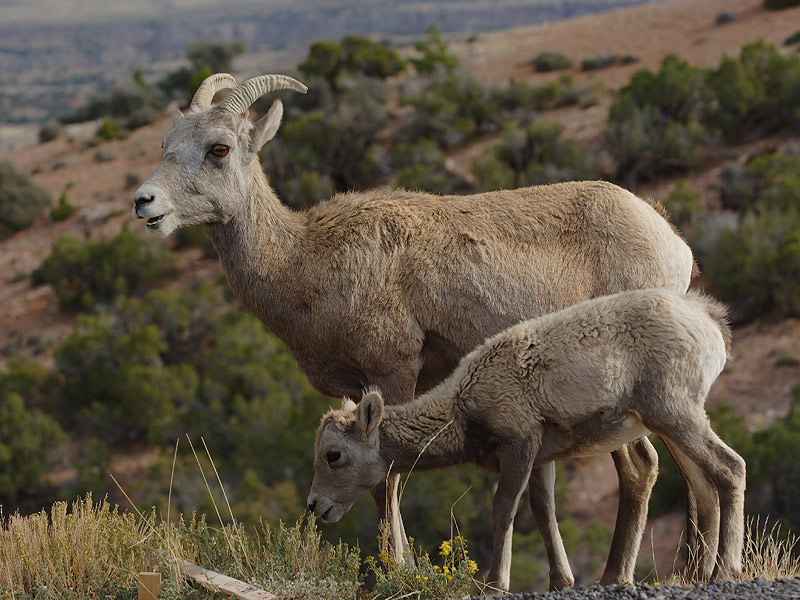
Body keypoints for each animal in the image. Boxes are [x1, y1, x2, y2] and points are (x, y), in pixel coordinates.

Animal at [138, 72, 700, 588]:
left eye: (219, 148)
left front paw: (395, 571)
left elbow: (387, 481)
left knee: (643, 467)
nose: (145, 202)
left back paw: (619, 575)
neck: (304, 263)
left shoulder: (395, 372)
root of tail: (671, 240)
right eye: (166, 145)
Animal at [308, 290, 744, 596]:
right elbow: (543, 510)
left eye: (334, 455)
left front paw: (493, 584)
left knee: (730, 468)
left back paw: (725, 571)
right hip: (672, 422)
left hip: (674, 413)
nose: (315, 506)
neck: (462, 404)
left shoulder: (519, 443)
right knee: (705, 486)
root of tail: (708, 321)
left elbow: (504, 508)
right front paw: (559, 582)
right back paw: (699, 575)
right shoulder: (541, 458)